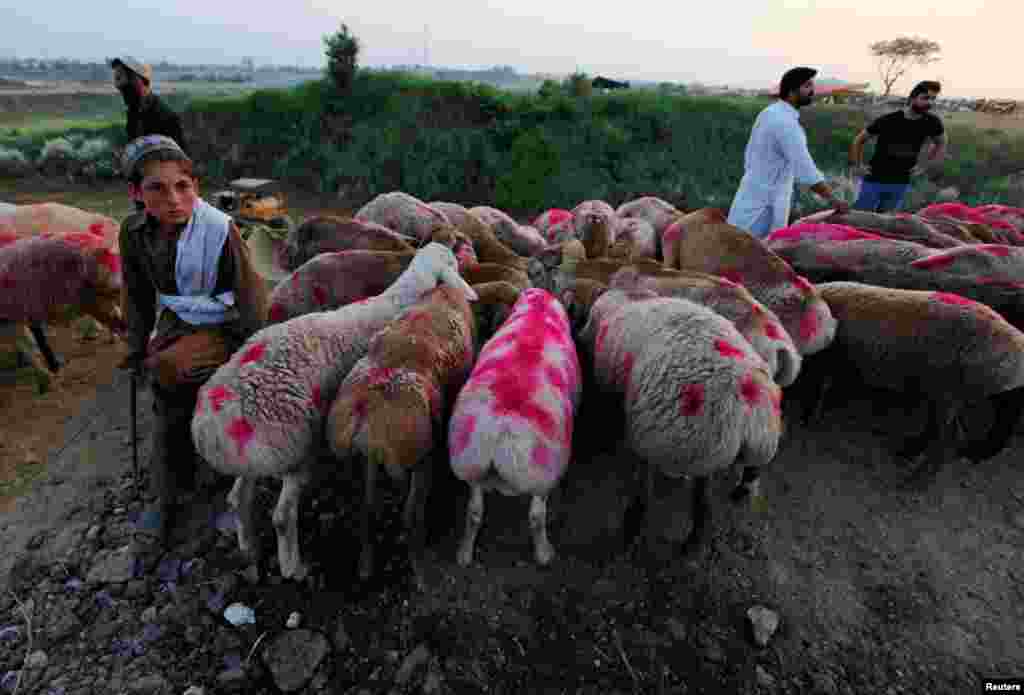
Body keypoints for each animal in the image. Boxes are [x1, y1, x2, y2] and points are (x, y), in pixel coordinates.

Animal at [192, 244, 479, 581]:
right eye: (453, 265)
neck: (393, 301)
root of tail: (210, 423)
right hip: (293, 448)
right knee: (282, 516)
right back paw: (294, 568)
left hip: (254, 458)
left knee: (238, 498)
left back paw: (248, 547)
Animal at [450, 286, 585, 565]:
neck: (537, 311)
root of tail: (500, 430)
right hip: (543, 474)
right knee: (535, 517)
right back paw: (544, 553)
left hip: (470, 465)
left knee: (474, 512)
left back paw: (464, 553)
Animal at [577, 288, 782, 552]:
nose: (579, 336)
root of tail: (745, 408)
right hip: (723, 449)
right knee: (708, 499)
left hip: (659, 436)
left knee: (652, 489)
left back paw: (634, 530)